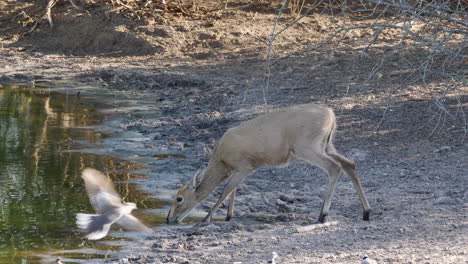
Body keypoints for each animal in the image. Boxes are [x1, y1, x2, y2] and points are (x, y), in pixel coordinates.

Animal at [166, 103, 372, 223]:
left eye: (179, 198)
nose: (169, 218)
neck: (222, 161)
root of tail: (331, 115)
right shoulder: (239, 169)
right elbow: (233, 191)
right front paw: (228, 216)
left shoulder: (245, 166)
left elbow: (226, 191)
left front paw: (206, 219)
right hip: (326, 145)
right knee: (350, 164)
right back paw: (366, 212)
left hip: (308, 146)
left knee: (334, 167)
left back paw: (322, 215)